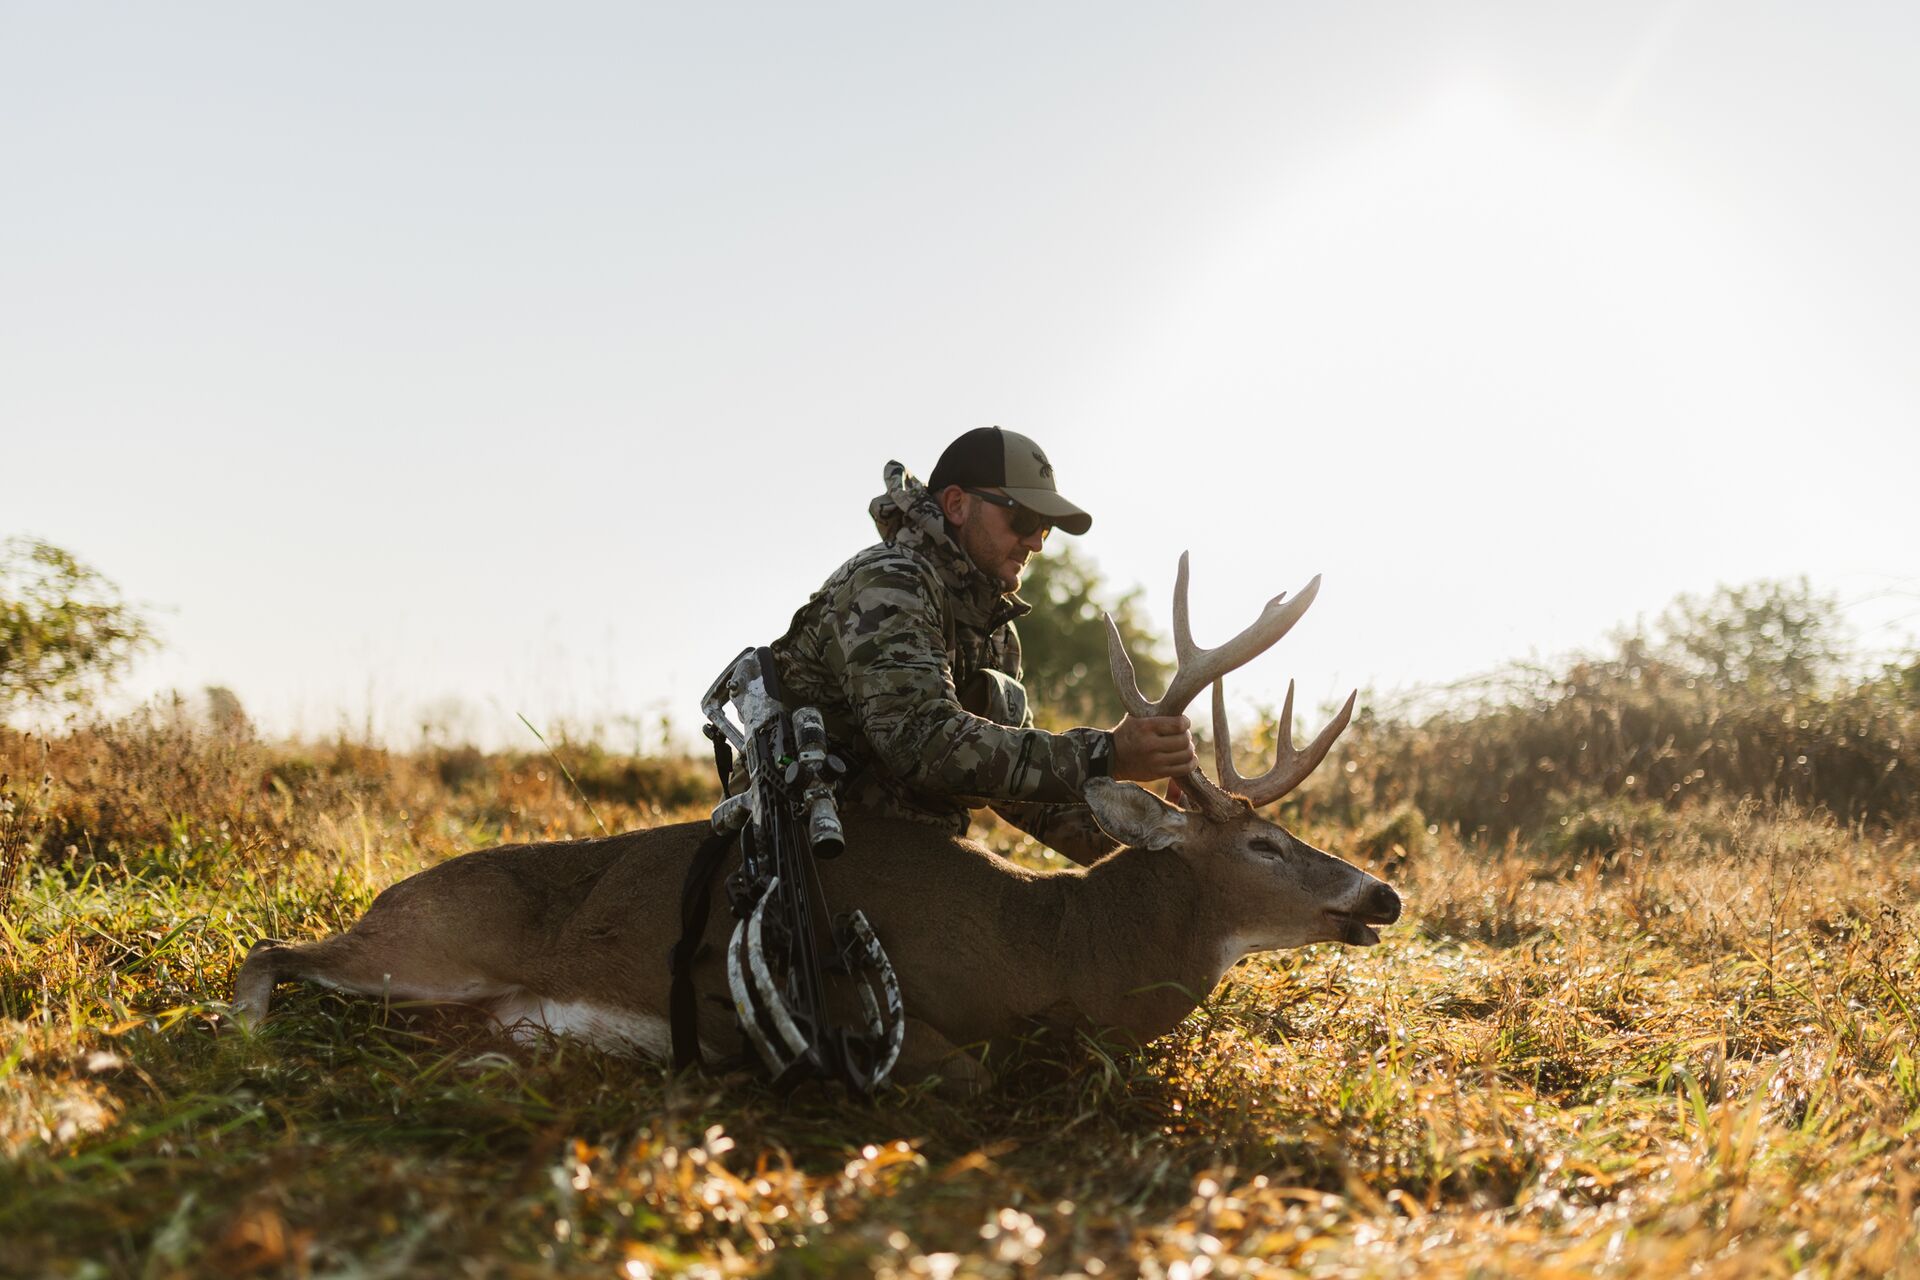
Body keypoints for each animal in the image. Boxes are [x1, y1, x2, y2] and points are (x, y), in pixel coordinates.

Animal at [232, 556, 1401, 1090]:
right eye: (1264, 844)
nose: (1383, 892)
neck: (1054, 949)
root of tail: (391, 890)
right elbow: (968, 1070)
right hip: (428, 943)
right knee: (268, 951)